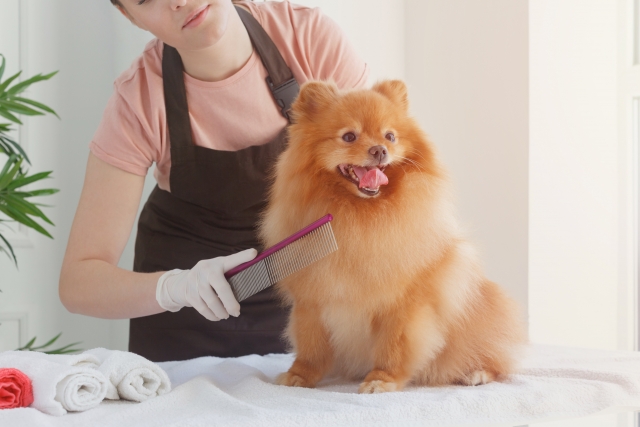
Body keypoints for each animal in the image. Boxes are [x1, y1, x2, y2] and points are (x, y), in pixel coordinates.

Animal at [258, 79, 528, 394]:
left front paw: (381, 379)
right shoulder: (312, 297)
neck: (358, 217)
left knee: (494, 357)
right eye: (348, 136)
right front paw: (300, 375)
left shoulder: (404, 303)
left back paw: (477, 373)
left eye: (390, 136)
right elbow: (310, 345)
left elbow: (394, 345)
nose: (379, 150)